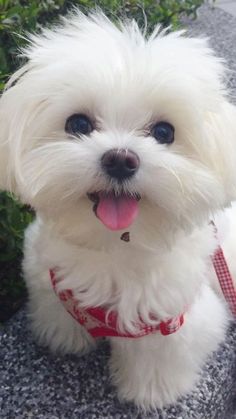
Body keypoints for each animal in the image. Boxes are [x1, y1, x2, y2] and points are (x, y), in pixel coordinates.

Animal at [0, 11, 236, 412]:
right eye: (78, 124)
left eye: (164, 132)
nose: (121, 159)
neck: (114, 247)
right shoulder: (47, 280)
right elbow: (58, 313)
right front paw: (65, 339)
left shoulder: (172, 321)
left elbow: (158, 358)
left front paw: (151, 393)